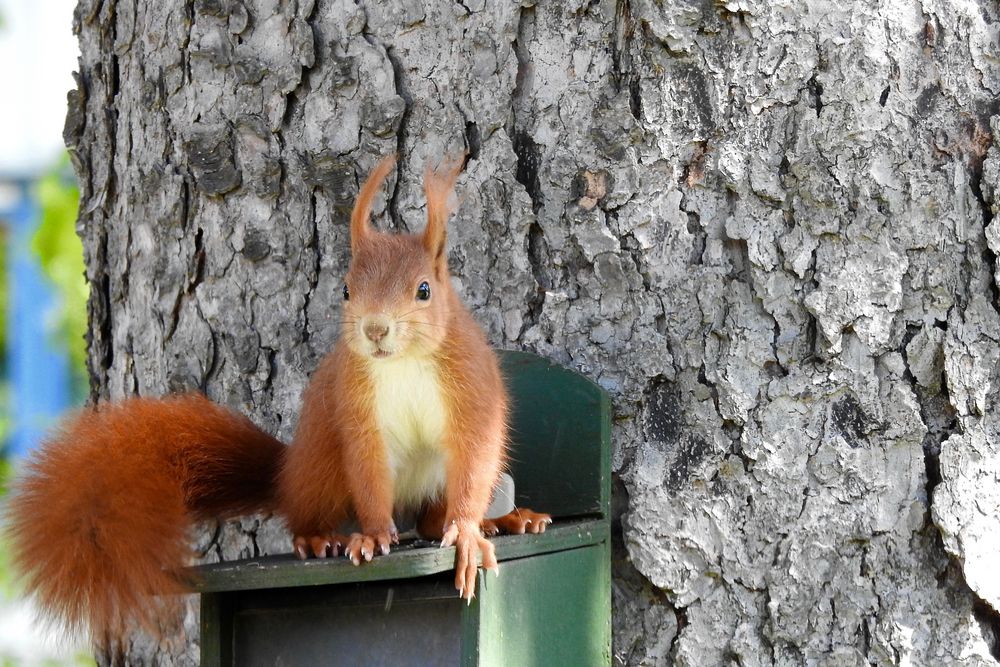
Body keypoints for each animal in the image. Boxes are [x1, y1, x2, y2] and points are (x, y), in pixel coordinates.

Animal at [5, 155, 548, 648]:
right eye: (346, 290)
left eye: (424, 290)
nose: (375, 329)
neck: (403, 364)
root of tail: (286, 474)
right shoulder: (357, 409)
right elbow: (369, 472)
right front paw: (373, 535)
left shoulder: (472, 393)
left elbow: (474, 461)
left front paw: (469, 534)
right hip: (323, 469)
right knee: (313, 512)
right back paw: (319, 537)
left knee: (433, 519)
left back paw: (506, 518)